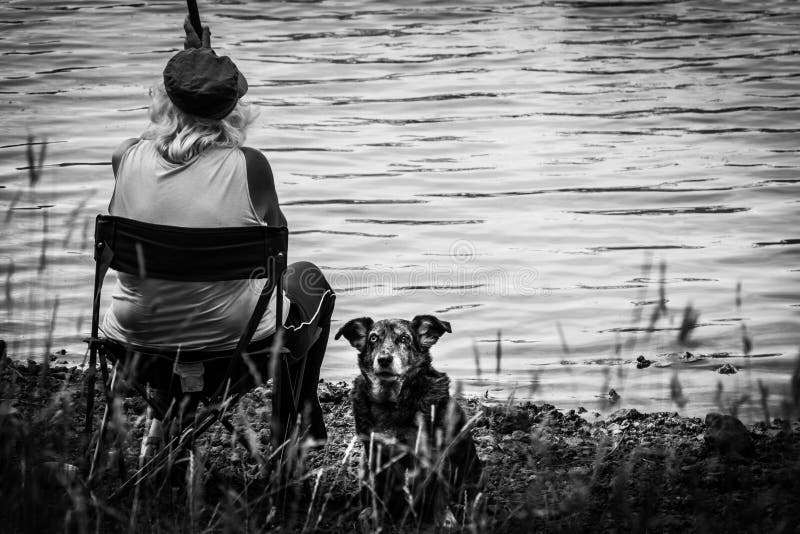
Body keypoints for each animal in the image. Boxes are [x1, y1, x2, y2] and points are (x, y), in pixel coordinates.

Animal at [336, 316, 482, 524]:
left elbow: (440, 493)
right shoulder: (375, 453)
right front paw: (377, 516)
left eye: (405, 338)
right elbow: (379, 491)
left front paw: (445, 520)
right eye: (373, 338)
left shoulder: (436, 453)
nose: (384, 359)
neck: (392, 402)